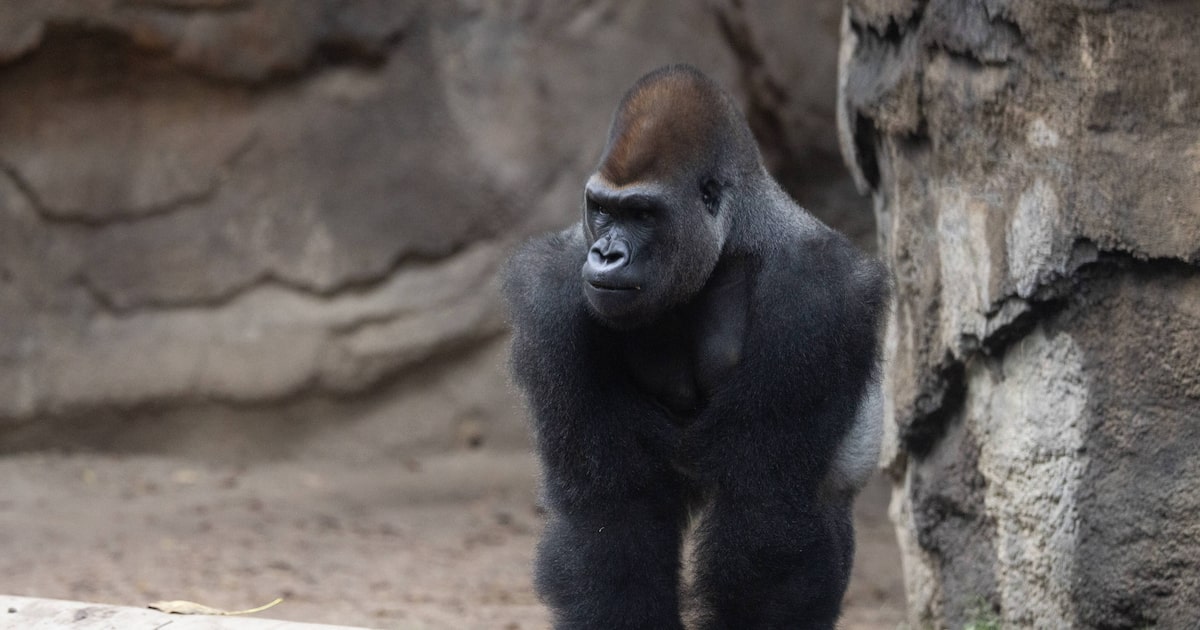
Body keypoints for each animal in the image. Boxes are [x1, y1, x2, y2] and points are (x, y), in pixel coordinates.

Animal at [503, 64, 889, 630]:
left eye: (643, 214)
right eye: (601, 209)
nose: (606, 255)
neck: (730, 239)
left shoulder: (818, 299)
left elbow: (765, 515)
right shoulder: (551, 293)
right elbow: (612, 513)